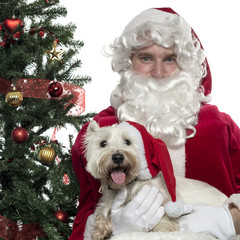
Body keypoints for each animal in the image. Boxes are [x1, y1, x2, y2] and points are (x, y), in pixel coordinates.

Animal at [83, 121, 228, 240]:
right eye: (103, 143)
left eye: (127, 142)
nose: (118, 157)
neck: (126, 185)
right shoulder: (108, 200)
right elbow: (101, 212)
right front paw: (100, 231)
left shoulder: (162, 197)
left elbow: (164, 218)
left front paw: (162, 231)